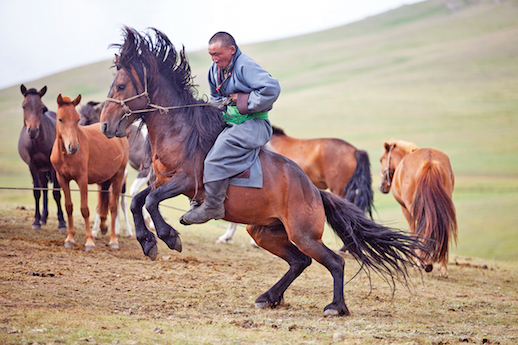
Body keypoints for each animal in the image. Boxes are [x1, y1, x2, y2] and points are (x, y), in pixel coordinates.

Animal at [17, 84, 67, 231]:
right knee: (44, 189)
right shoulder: (32, 166)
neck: (39, 143)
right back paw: (43, 218)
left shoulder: (53, 167)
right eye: (24, 106)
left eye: (41, 107)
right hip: (40, 170)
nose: (33, 131)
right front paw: (36, 221)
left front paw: (62, 222)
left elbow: (56, 192)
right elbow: (37, 192)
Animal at [51, 94, 130, 250]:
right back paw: (104, 227)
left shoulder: (82, 179)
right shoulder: (62, 179)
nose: (73, 147)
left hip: (118, 176)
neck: (65, 156)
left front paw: (89, 242)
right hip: (105, 180)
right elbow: (69, 207)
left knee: (113, 206)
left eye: (77, 120)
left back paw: (113, 240)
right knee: (103, 205)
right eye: (60, 119)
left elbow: (84, 209)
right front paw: (70, 238)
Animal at [378, 140, 460, 276]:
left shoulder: (406, 210)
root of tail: (429, 161)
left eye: (381, 160)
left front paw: (415, 261)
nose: (381, 186)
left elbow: (413, 231)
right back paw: (442, 266)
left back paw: (423, 262)